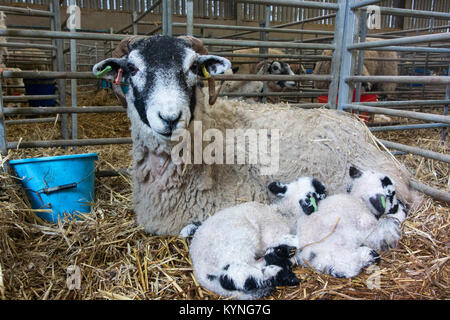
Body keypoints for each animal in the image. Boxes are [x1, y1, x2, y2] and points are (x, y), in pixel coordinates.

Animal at [179, 176, 326, 298]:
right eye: (317, 192)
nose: (324, 188)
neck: (284, 214)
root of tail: (201, 272)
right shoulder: (274, 235)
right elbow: (291, 240)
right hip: (240, 244)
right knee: (244, 271)